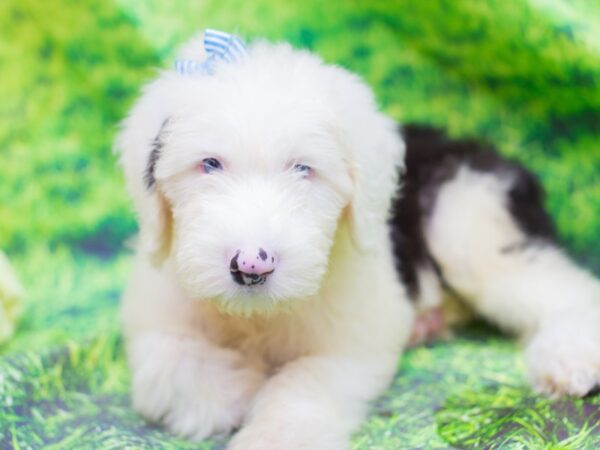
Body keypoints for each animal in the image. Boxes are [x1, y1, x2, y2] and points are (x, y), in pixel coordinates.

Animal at [117, 30, 600, 446]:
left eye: (304, 168)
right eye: (209, 164)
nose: (252, 264)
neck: (257, 317)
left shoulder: (354, 338)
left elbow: (303, 385)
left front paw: (271, 433)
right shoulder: (156, 309)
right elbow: (169, 363)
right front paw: (236, 387)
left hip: (467, 220)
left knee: (563, 286)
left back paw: (570, 357)